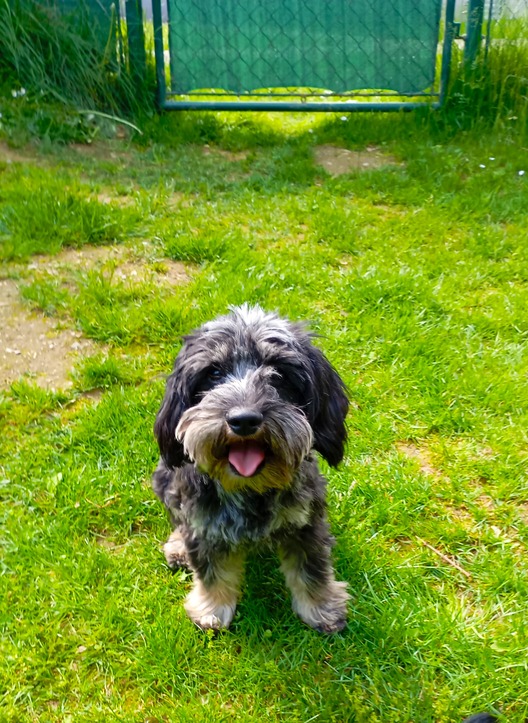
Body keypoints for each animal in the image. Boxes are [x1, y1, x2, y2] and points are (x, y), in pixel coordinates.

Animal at [152, 304, 349, 632]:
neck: (250, 488)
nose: (243, 420)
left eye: (278, 374)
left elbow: (312, 568)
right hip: (165, 478)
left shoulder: (307, 521)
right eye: (213, 373)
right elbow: (211, 571)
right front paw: (211, 608)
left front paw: (322, 607)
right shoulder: (203, 525)